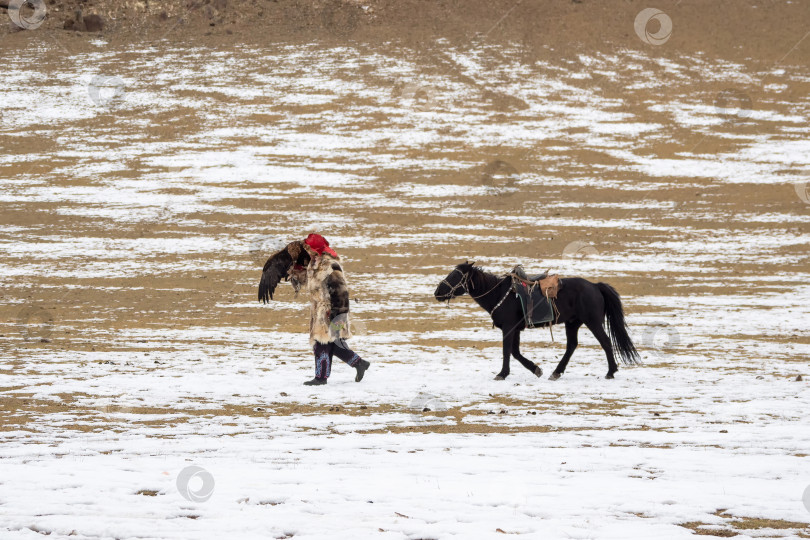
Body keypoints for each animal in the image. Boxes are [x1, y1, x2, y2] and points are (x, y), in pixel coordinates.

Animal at [436, 262, 636, 380]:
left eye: (455, 275)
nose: (437, 292)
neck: (499, 294)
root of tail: (595, 286)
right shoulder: (515, 329)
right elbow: (515, 352)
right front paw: (536, 370)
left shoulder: (508, 328)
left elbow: (508, 351)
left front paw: (502, 374)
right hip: (572, 323)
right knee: (572, 345)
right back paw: (556, 372)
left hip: (592, 322)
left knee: (605, 342)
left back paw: (610, 372)